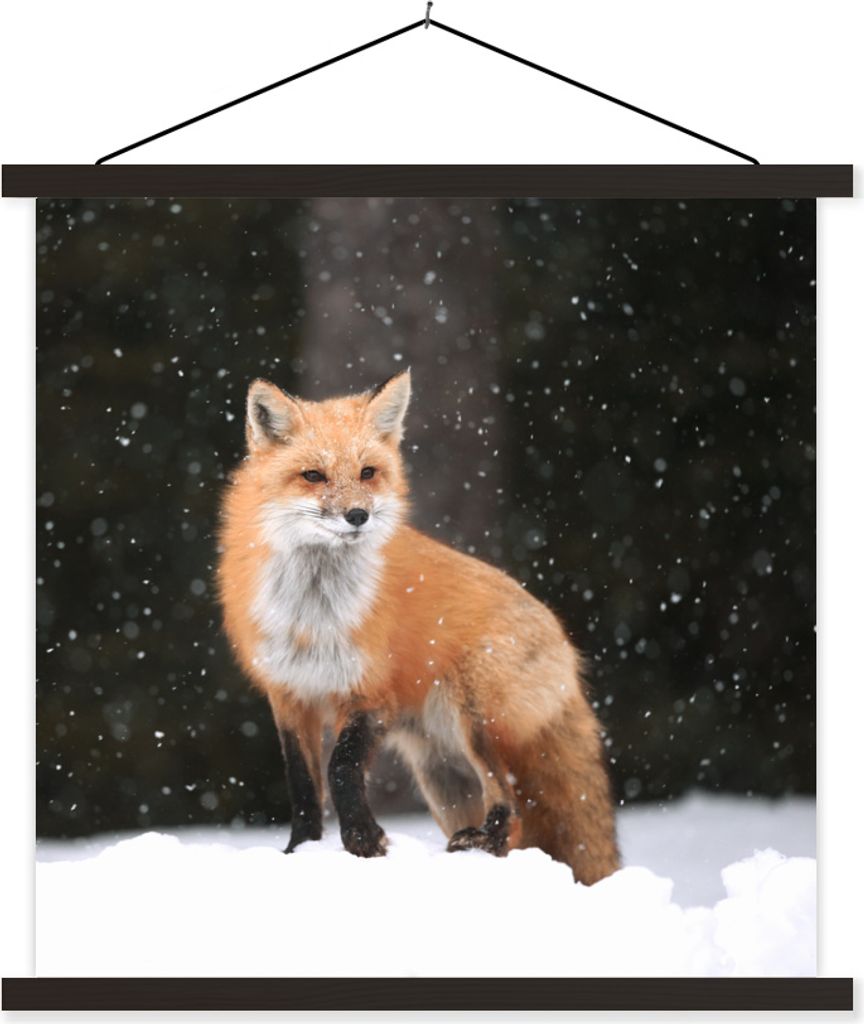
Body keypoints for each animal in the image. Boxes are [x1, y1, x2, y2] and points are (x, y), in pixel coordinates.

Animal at [217, 369, 620, 883]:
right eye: (313, 476)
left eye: (368, 473)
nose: (358, 516)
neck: (314, 616)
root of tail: (569, 651)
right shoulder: (290, 695)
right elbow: (303, 785)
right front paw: (300, 850)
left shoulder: (371, 694)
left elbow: (341, 768)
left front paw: (363, 841)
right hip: (443, 775)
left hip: (475, 721)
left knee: (510, 802)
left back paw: (481, 840)